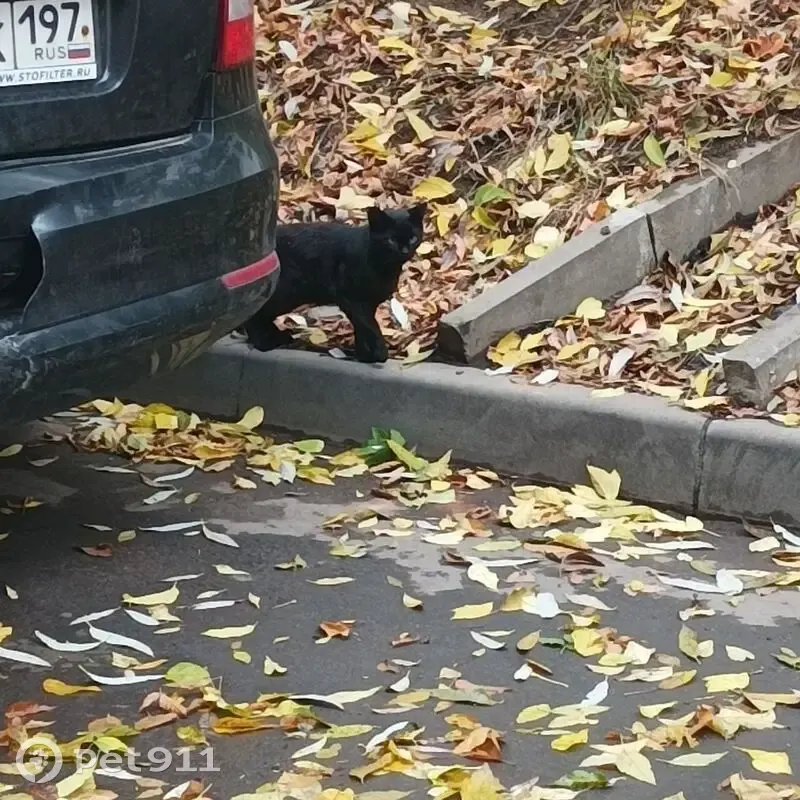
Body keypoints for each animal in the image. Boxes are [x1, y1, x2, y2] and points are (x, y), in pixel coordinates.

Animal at [241, 204, 426, 363]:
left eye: (412, 238)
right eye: (391, 240)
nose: (404, 251)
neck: (384, 268)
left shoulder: (368, 303)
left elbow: (362, 328)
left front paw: (364, 356)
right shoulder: (349, 298)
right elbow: (371, 326)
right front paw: (380, 353)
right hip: (285, 294)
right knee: (254, 315)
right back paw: (265, 342)